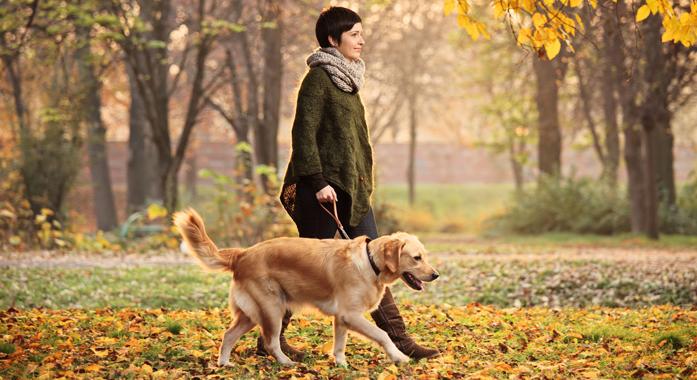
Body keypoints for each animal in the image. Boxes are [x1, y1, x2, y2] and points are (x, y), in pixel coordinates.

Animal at [172, 209, 438, 366]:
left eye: (425, 256)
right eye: (416, 258)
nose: (435, 275)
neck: (370, 262)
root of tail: (243, 253)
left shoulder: (341, 318)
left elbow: (339, 345)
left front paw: (340, 364)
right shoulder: (350, 314)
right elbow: (382, 334)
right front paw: (399, 356)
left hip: (251, 313)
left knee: (228, 335)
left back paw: (224, 364)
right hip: (272, 308)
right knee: (270, 342)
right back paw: (287, 363)